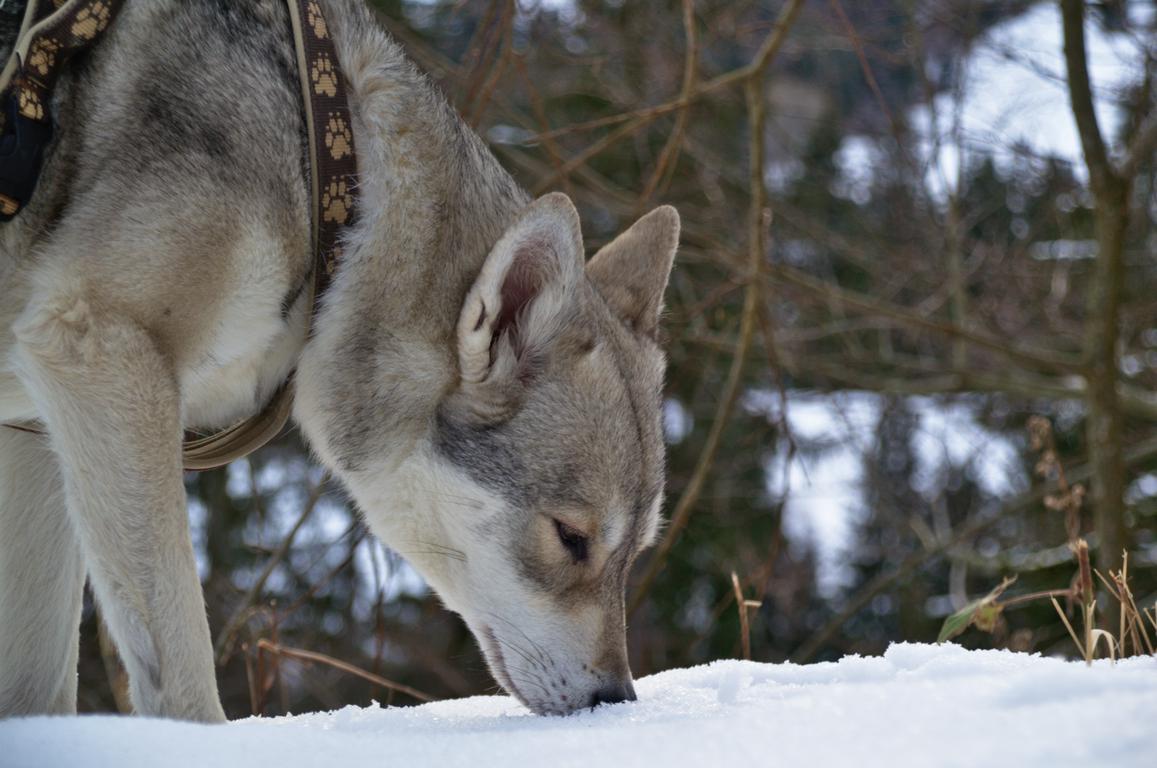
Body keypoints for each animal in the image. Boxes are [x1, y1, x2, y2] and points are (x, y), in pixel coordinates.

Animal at [0, 0, 678, 721]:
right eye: (571, 538)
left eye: (635, 553)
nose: (614, 698)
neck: (332, 188)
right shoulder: (103, 349)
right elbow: (182, 675)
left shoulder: (35, 428)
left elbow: (34, 690)